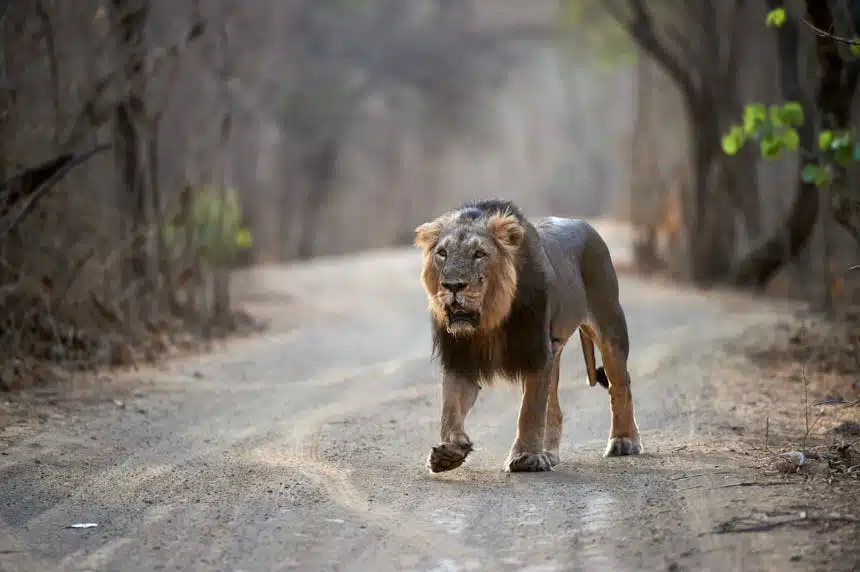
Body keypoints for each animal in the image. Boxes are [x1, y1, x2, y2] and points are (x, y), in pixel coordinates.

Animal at [414, 199, 642, 473]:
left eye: (479, 254)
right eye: (442, 253)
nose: (453, 286)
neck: (490, 321)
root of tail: (585, 225)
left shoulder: (536, 353)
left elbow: (530, 410)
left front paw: (525, 458)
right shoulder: (460, 358)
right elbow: (450, 409)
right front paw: (449, 451)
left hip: (609, 325)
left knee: (620, 384)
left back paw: (623, 441)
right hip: (555, 350)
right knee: (554, 407)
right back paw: (549, 453)